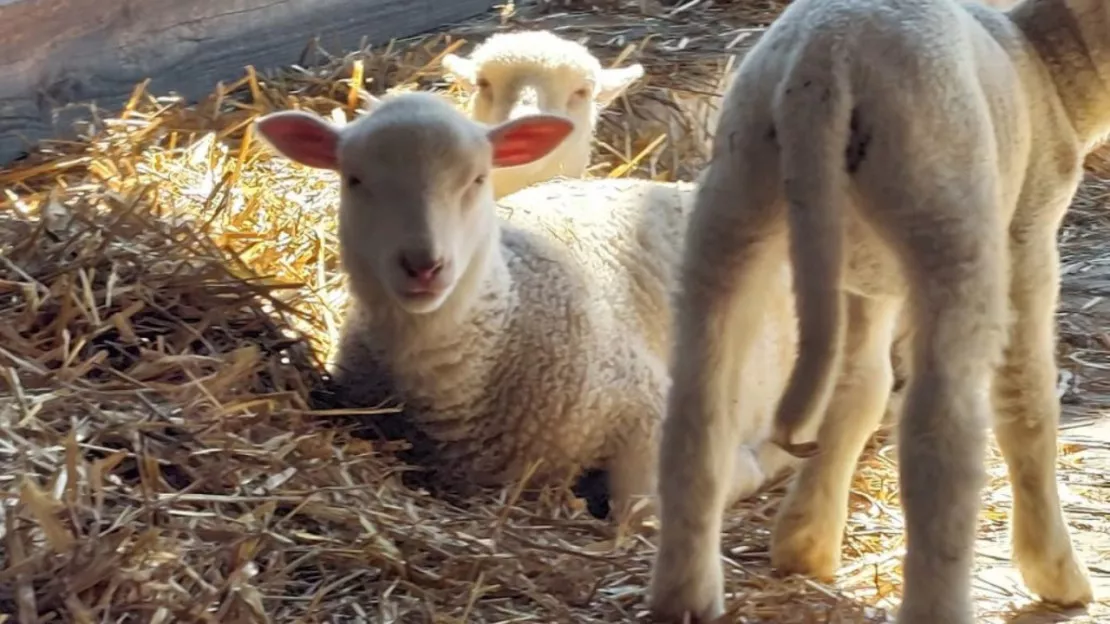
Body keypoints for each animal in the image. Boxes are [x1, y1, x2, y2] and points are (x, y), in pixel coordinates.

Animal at [253, 88, 808, 519]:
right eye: (355, 180)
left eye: (477, 179)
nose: (424, 266)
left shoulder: (648, 403)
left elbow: (644, 507)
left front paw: (744, 467)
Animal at [648, 0, 1105, 617]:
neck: (1048, 66)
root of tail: (824, 64)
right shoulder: (1028, 237)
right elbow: (1027, 401)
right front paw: (1057, 575)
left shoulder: (866, 286)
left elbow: (857, 390)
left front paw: (805, 543)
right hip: (947, 212)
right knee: (939, 435)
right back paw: (942, 605)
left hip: (734, 196)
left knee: (698, 406)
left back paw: (685, 595)